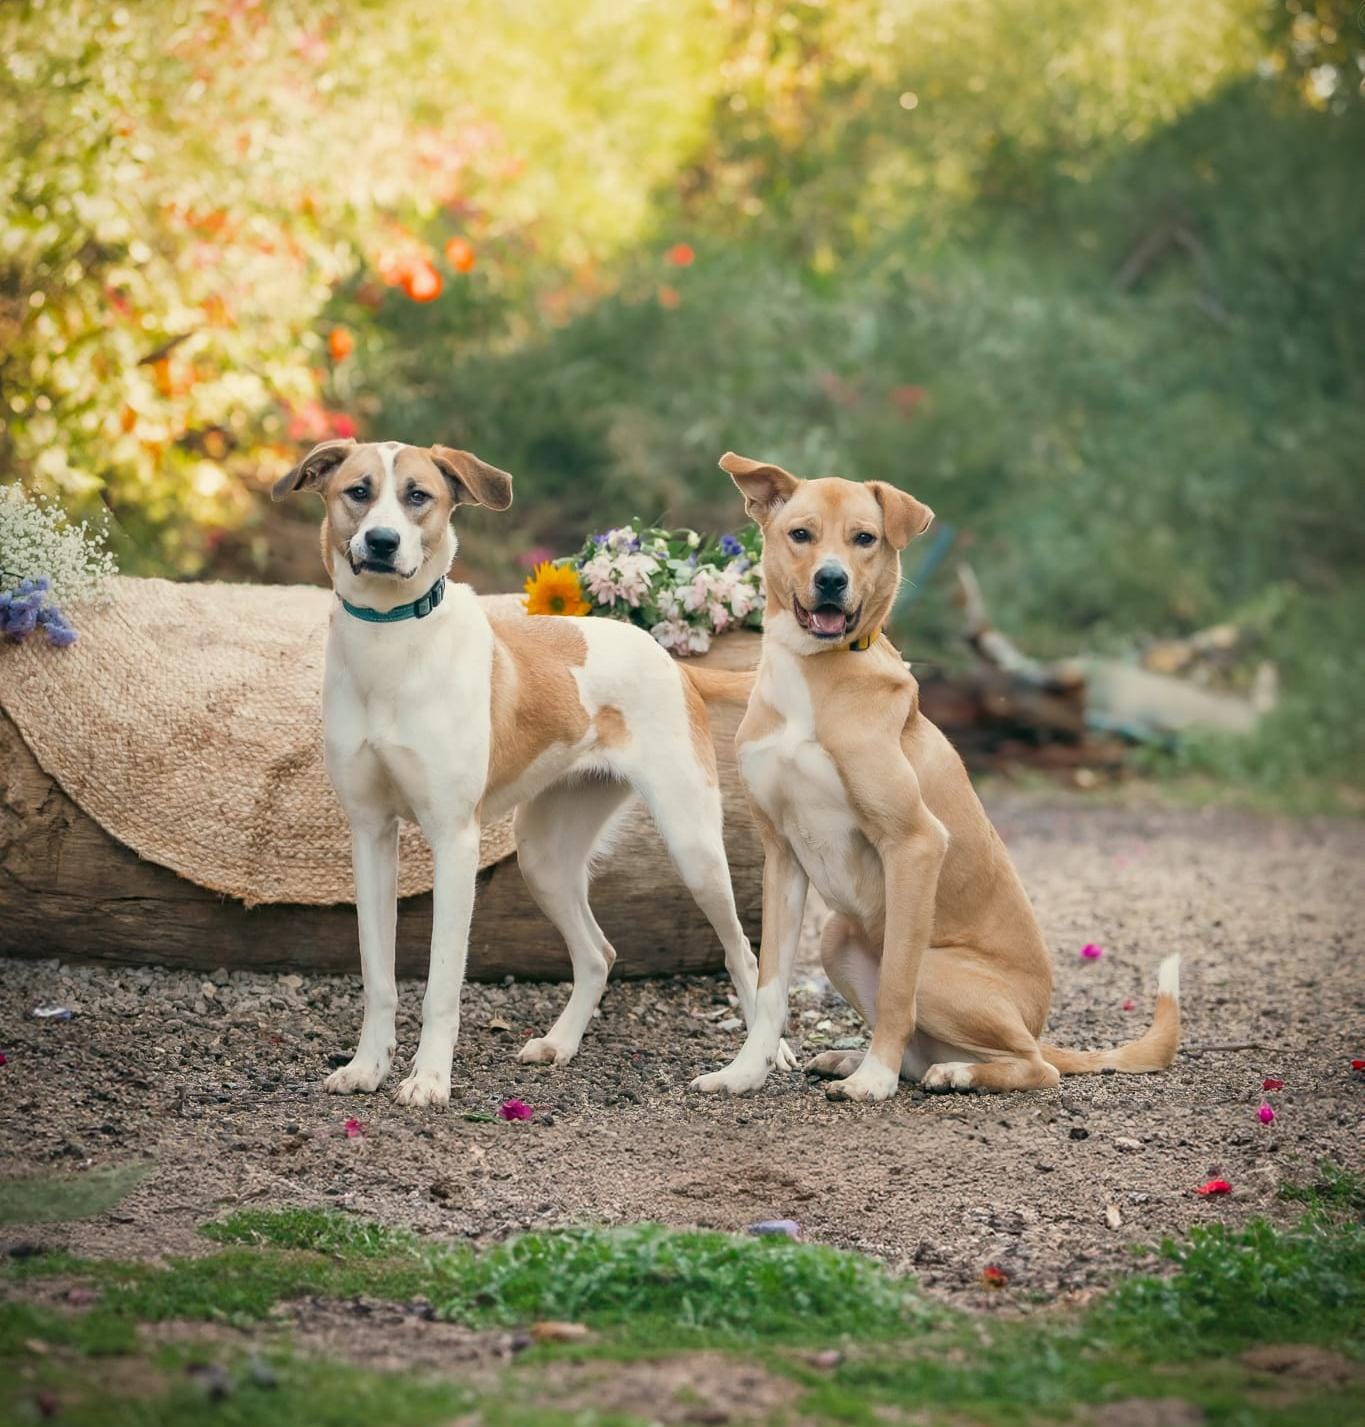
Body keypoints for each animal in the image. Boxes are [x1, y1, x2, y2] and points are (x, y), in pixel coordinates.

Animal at [273, 439, 787, 1107]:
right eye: (358, 491)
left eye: (418, 496)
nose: (382, 542)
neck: (391, 643)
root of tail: (674, 663)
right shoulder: (369, 834)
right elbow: (377, 975)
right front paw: (368, 1067)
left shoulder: (455, 842)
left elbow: (441, 985)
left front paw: (429, 1079)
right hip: (543, 859)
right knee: (598, 953)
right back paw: (560, 1043)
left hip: (693, 845)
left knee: (742, 955)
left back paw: (764, 1058)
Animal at [687, 450, 1175, 1095]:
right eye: (801, 535)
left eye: (864, 539)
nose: (832, 579)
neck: (814, 675)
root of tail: (1040, 1023)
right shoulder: (782, 855)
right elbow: (769, 988)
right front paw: (745, 1072)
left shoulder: (915, 843)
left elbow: (897, 987)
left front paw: (874, 1084)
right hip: (836, 936)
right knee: (927, 1048)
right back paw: (860, 1059)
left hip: (940, 971)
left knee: (1034, 1065)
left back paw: (949, 1072)